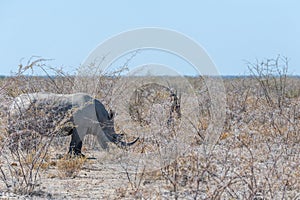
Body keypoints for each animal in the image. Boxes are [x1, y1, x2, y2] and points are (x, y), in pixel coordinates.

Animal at [8, 92, 139, 156]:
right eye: (114, 137)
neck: (101, 118)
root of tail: (13, 103)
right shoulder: (80, 127)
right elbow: (76, 142)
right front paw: (77, 156)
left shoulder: (81, 128)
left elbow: (78, 143)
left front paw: (79, 155)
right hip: (21, 109)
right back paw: (15, 153)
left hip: (20, 108)